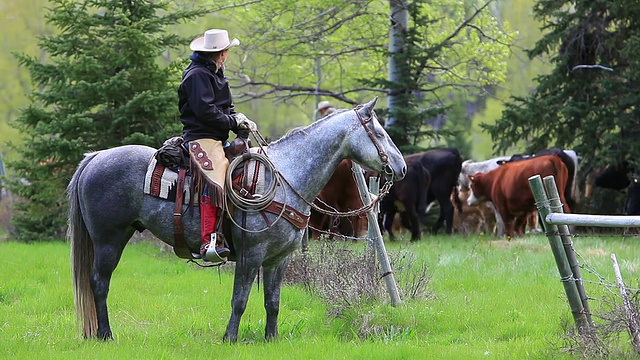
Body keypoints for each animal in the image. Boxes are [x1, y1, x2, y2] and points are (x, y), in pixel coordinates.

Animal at [69, 97, 404, 342]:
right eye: (380, 133)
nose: (400, 168)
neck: (285, 177)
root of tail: (95, 157)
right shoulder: (250, 255)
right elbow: (239, 299)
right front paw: (229, 338)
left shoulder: (278, 258)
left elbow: (272, 301)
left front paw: (271, 339)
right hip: (109, 240)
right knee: (99, 282)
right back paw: (105, 334)